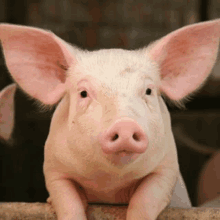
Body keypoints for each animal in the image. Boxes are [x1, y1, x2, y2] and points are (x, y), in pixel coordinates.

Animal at [0, 19, 219, 219]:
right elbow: (68, 203)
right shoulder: (54, 169)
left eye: (148, 90)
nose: (125, 125)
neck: (109, 185)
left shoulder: (167, 168)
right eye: (83, 93)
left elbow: (145, 200)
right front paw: (54, 202)